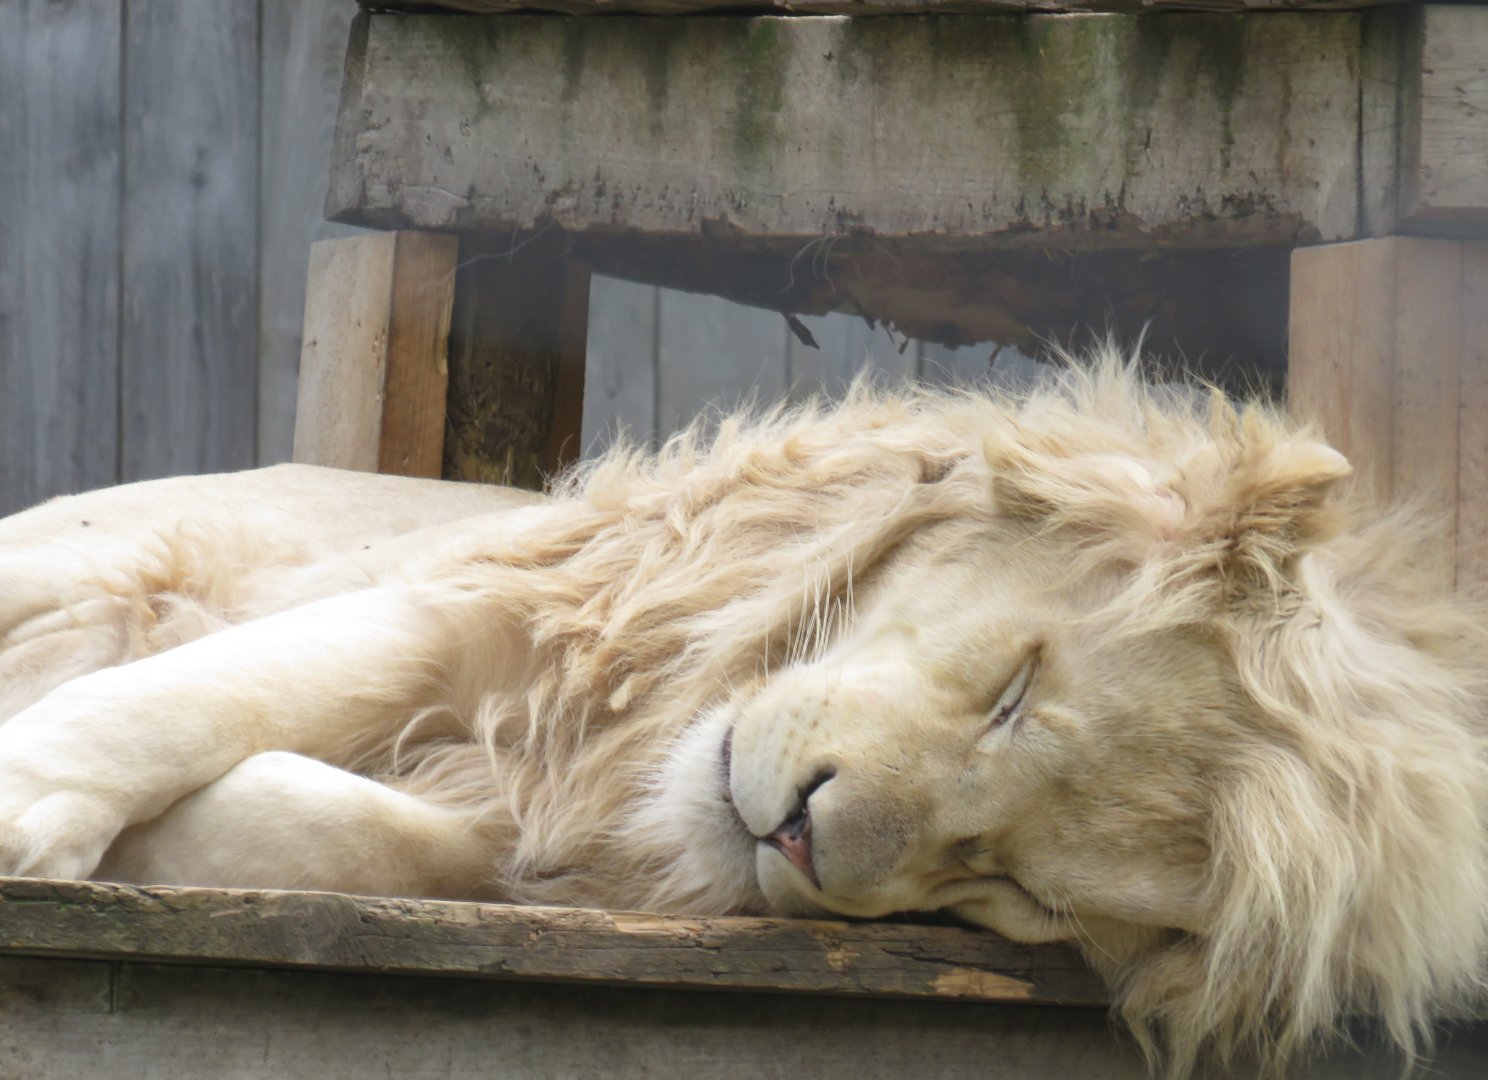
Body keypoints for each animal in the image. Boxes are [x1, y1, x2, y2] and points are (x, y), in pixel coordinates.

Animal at [0, 350, 1484, 1075]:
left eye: (1025, 895)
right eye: (1015, 691)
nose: (802, 836)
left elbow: (351, 829)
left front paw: (182, 841)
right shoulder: (504, 605)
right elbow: (218, 688)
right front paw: (37, 803)